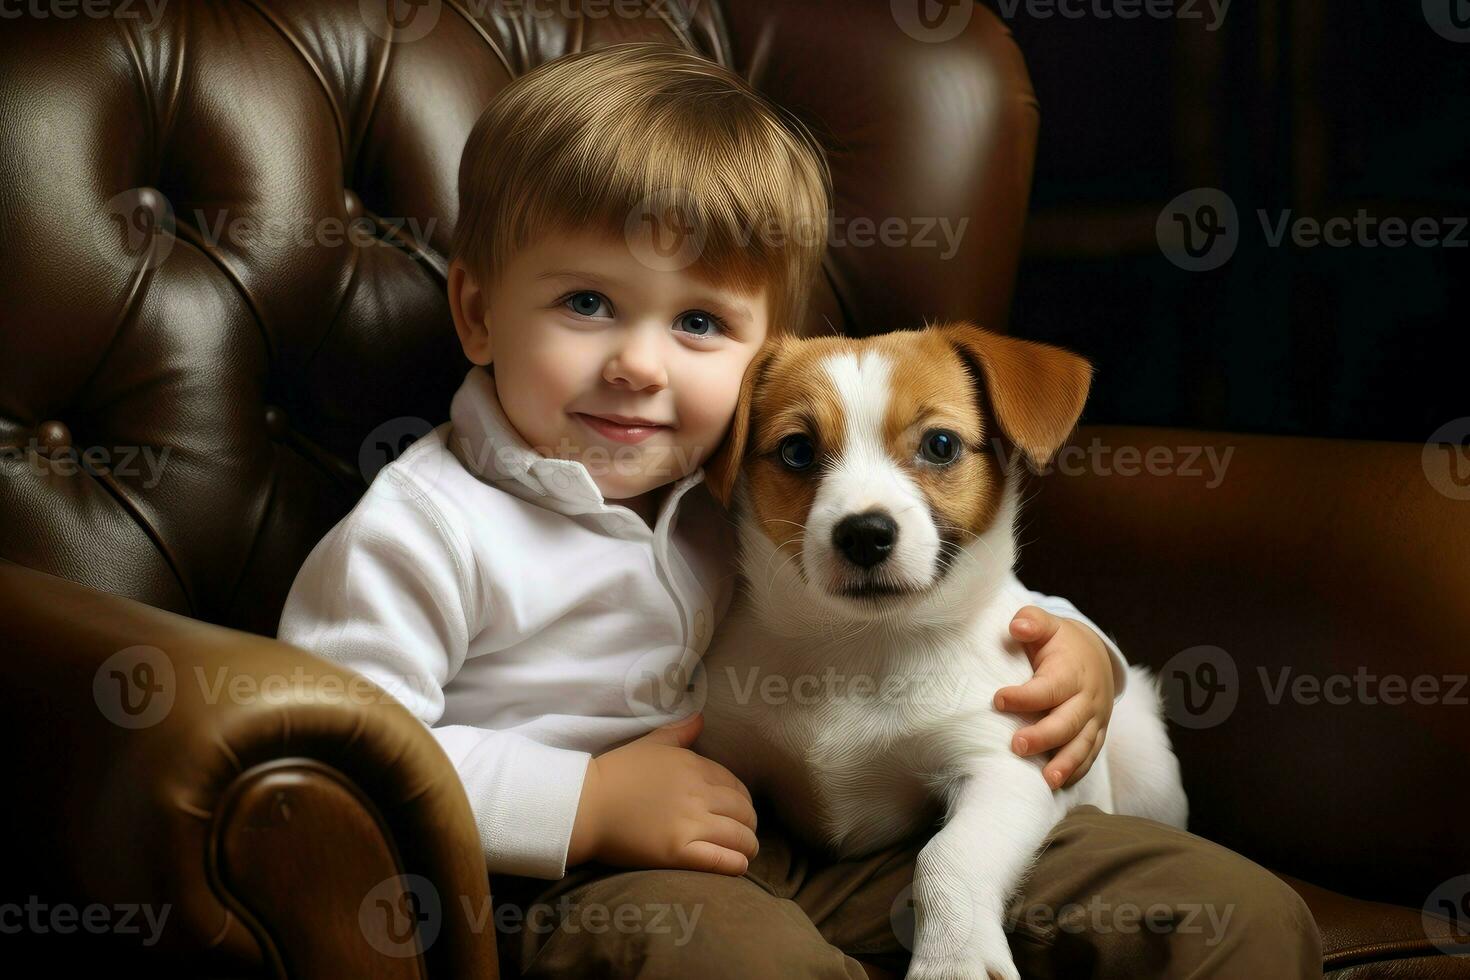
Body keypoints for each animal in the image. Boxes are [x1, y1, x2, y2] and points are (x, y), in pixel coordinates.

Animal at [693, 321, 1187, 980]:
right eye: (796, 451)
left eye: (941, 445)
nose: (864, 534)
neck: (864, 646)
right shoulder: (723, 745)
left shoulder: (1004, 766)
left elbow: (946, 856)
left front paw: (952, 956)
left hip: (1146, 763)